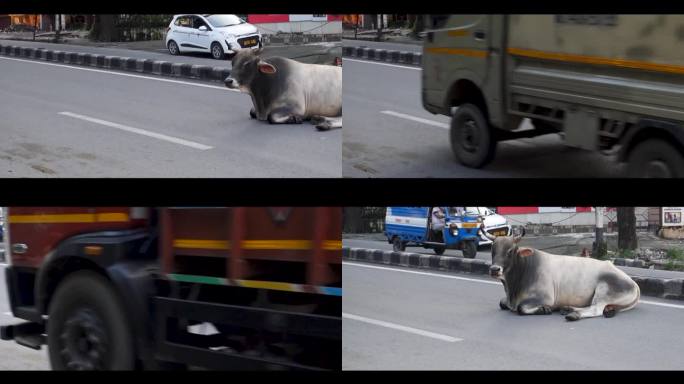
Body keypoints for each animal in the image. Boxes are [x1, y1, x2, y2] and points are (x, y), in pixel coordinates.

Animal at [480, 225, 640, 320]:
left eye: (510, 251)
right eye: (493, 250)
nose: (494, 269)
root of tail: (633, 283)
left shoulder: (545, 297)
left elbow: (521, 308)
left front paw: (544, 309)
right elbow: (502, 303)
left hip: (604, 290)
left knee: (596, 309)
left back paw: (573, 314)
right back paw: (567, 308)